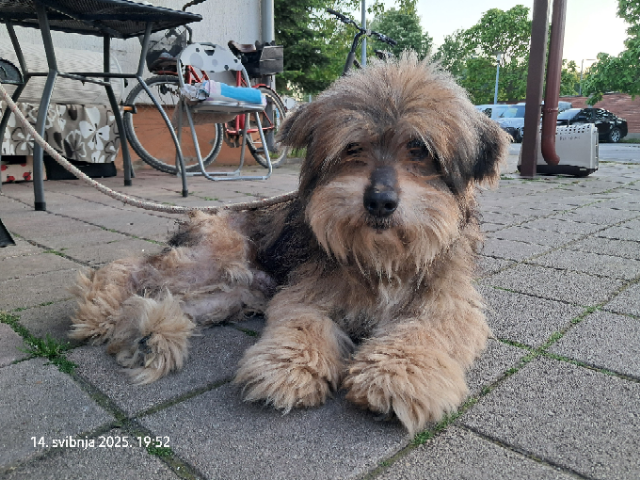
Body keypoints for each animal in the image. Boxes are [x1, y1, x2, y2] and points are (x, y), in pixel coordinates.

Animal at [69, 53, 509, 436]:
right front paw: (289, 369)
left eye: (419, 149)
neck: (380, 256)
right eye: (353, 147)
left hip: (233, 294)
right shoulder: (306, 293)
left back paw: (145, 335)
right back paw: (98, 310)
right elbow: (303, 325)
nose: (380, 201)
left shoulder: (449, 306)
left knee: (171, 299)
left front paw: (395, 376)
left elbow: (423, 332)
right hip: (212, 259)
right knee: (130, 268)